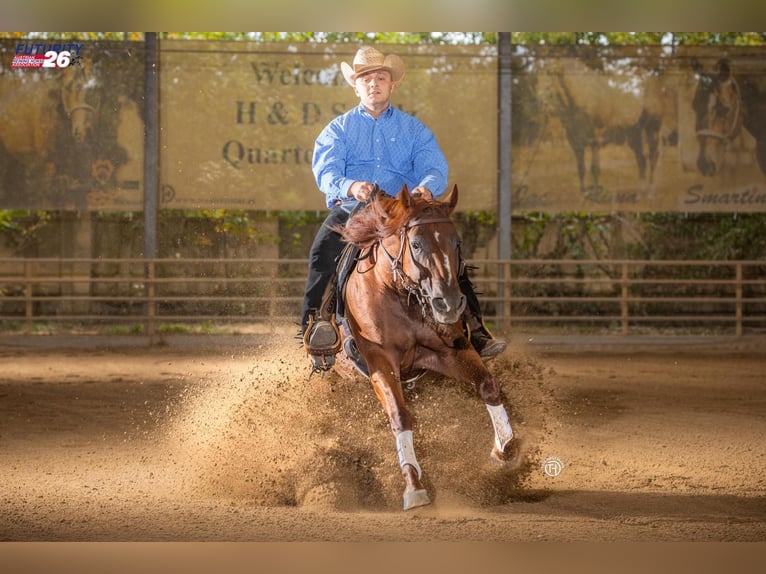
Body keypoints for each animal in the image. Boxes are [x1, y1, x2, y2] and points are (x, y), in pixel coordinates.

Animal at [333, 184, 517, 510]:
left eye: (456, 242)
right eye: (416, 244)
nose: (449, 303)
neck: (396, 292)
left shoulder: (449, 351)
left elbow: (488, 385)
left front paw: (504, 449)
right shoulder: (380, 361)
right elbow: (399, 415)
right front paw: (413, 485)